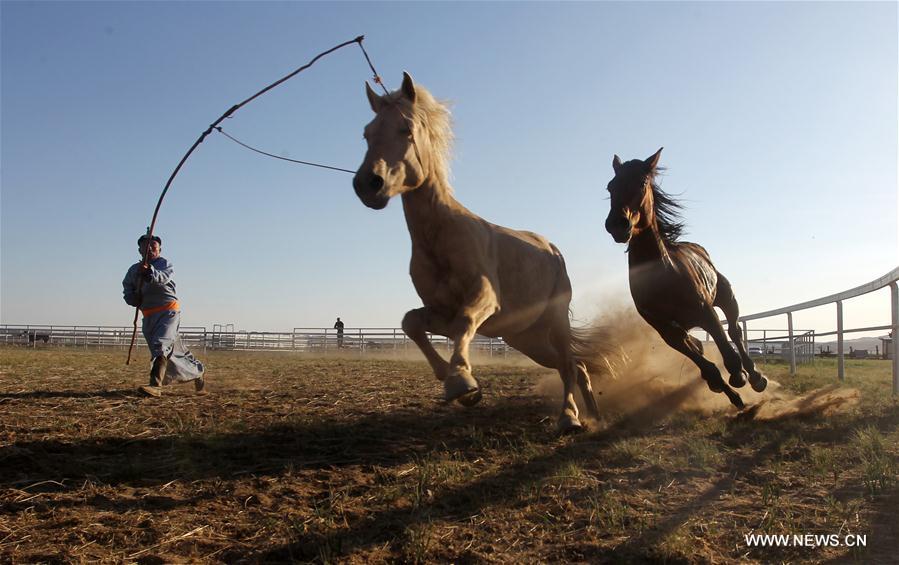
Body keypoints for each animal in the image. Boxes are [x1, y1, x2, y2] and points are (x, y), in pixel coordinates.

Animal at [352, 72, 614, 432]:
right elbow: (412, 322)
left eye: (406, 128)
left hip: (555, 321)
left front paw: (461, 382)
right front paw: (459, 385)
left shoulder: (485, 299)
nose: (368, 184)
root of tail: (551, 249)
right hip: (525, 338)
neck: (440, 237)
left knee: (567, 365)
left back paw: (570, 418)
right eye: (367, 133)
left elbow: (463, 323)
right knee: (577, 366)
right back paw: (594, 416)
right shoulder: (440, 312)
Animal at [603, 148, 767, 409]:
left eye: (641, 183)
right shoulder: (668, 332)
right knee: (703, 347)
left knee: (734, 331)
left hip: (726, 296)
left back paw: (755, 376)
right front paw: (734, 396)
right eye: (610, 186)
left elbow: (728, 353)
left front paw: (741, 377)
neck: (662, 277)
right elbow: (708, 368)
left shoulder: (706, 313)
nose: (617, 224)